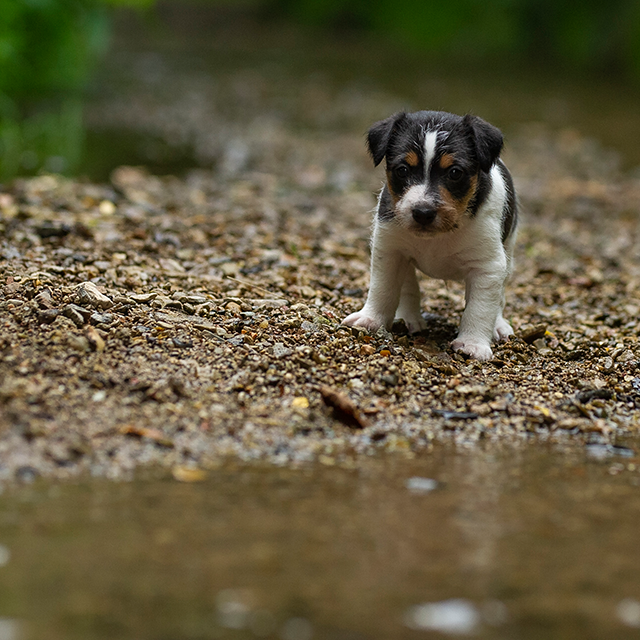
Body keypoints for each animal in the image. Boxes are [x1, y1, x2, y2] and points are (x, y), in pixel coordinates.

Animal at [342, 109, 516, 360]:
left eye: (455, 173)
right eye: (402, 170)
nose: (423, 212)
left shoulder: (488, 267)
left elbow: (480, 308)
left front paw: (473, 344)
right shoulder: (390, 251)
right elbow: (383, 289)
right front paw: (370, 319)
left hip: (508, 254)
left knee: (499, 298)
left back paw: (499, 326)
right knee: (408, 286)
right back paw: (408, 318)